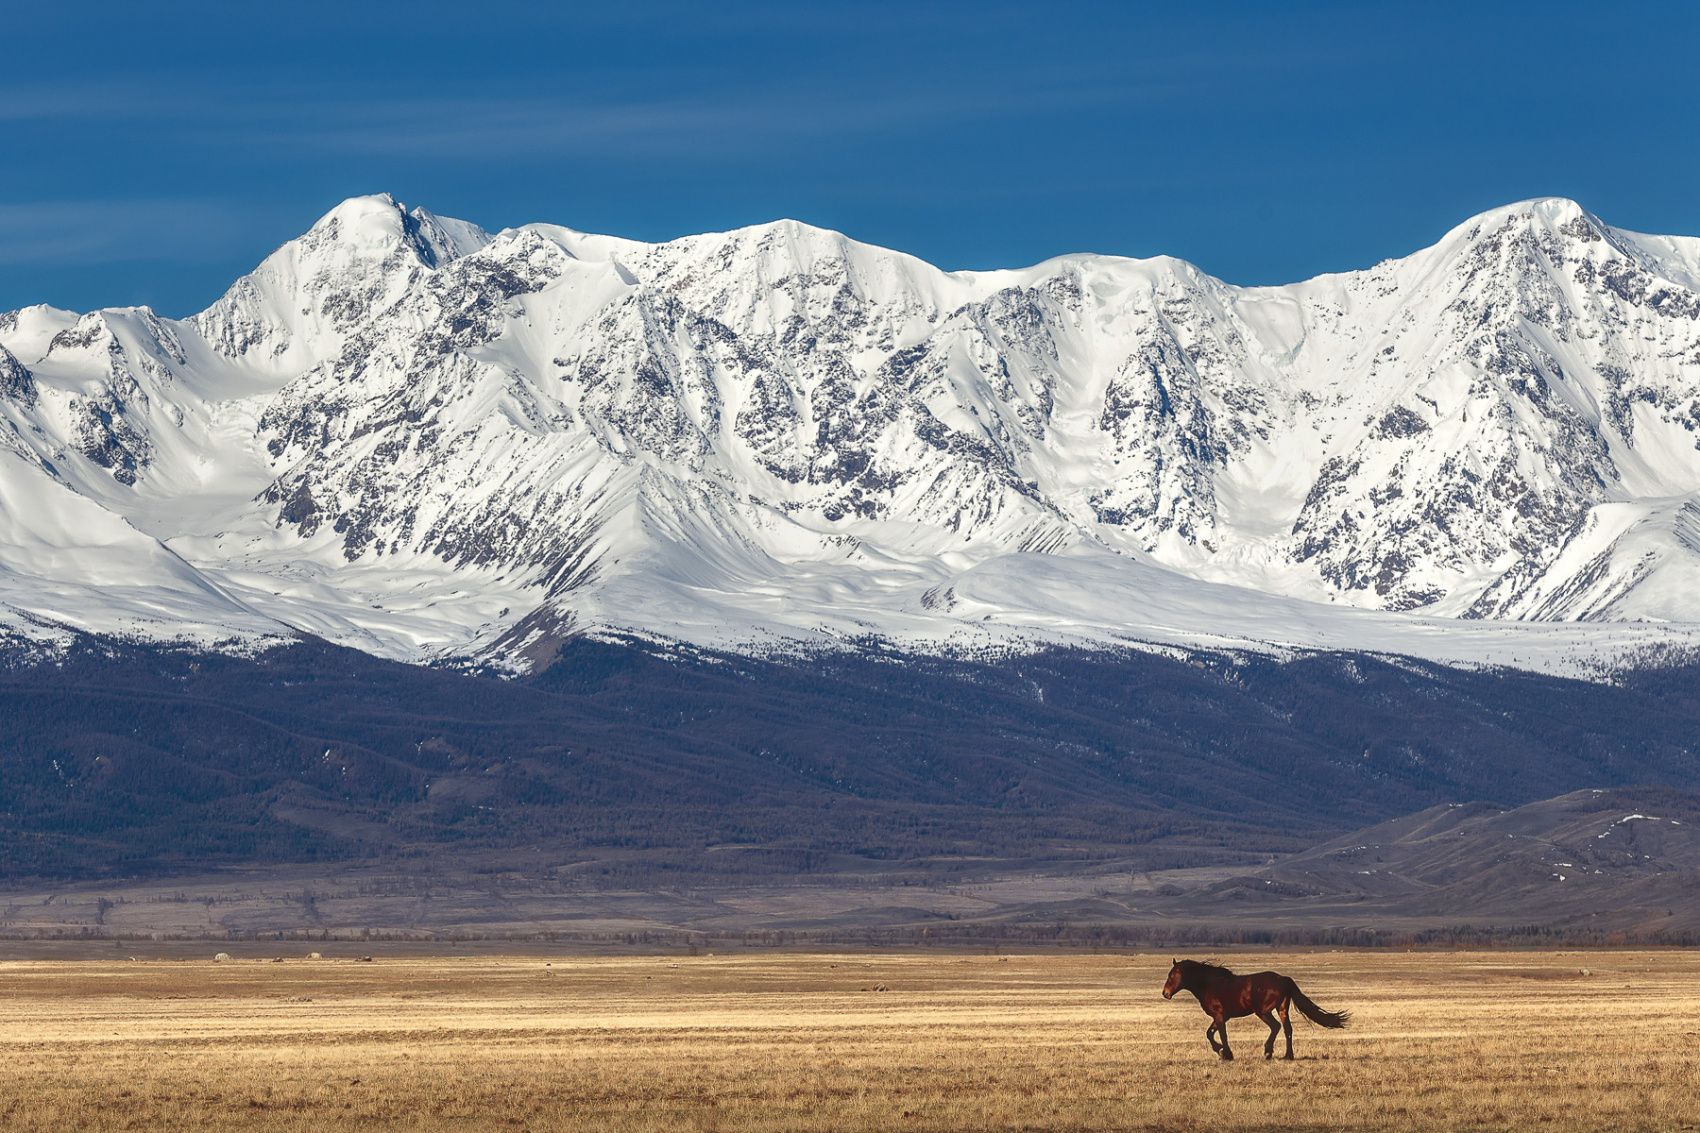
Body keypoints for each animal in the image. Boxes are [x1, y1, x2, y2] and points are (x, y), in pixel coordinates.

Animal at [1162, 959, 1346, 1054]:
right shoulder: (1220, 1017)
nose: (1165, 993)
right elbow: (1210, 1033)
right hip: (1282, 1009)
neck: (1209, 984)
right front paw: (1220, 1051)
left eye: (1172, 976)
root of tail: (1283, 979)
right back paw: (1288, 1056)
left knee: (1276, 1026)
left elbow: (1222, 1035)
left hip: (1263, 1011)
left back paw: (1268, 1051)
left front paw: (1226, 1053)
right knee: (1287, 1029)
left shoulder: (1220, 1016)